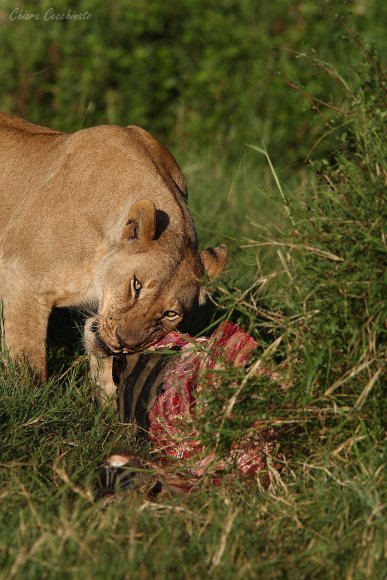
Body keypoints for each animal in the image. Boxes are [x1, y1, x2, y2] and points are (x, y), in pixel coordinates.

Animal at [0, 113, 227, 398]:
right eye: (136, 285)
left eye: (170, 314)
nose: (123, 343)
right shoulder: (23, 280)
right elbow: (28, 359)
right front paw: (29, 396)